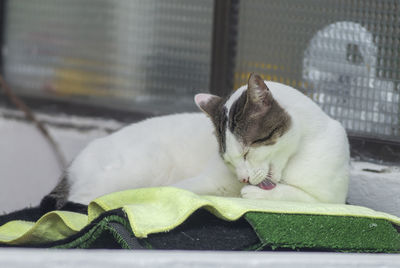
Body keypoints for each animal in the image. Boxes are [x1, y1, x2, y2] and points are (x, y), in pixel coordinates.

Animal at [40, 73, 350, 211]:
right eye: (229, 159)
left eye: (247, 151)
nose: (243, 179)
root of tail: (75, 162)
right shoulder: (205, 182)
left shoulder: (333, 200)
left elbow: (298, 197)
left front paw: (254, 194)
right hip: (139, 166)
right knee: (84, 198)